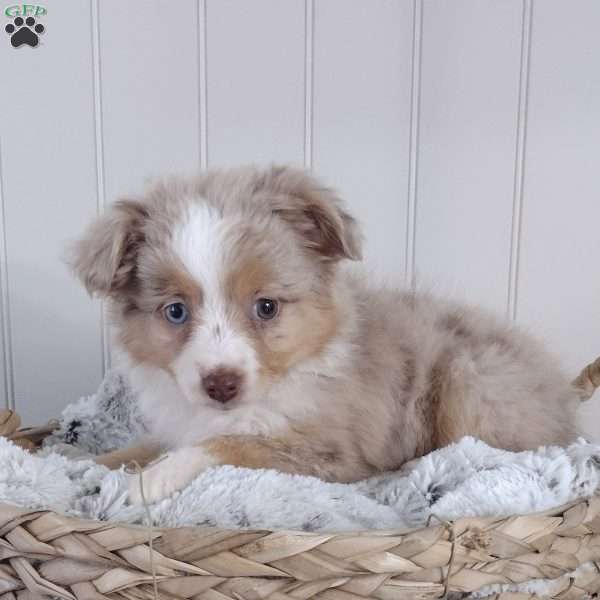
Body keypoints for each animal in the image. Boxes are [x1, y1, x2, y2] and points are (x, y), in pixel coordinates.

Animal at [69, 166, 592, 504]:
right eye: (175, 312)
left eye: (266, 307)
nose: (221, 384)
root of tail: (562, 396)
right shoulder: (180, 423)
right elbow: (142, 446)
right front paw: (91, 461)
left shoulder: (327, 455)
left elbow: (231, 445)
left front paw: (152, 480)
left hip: (469, 379)